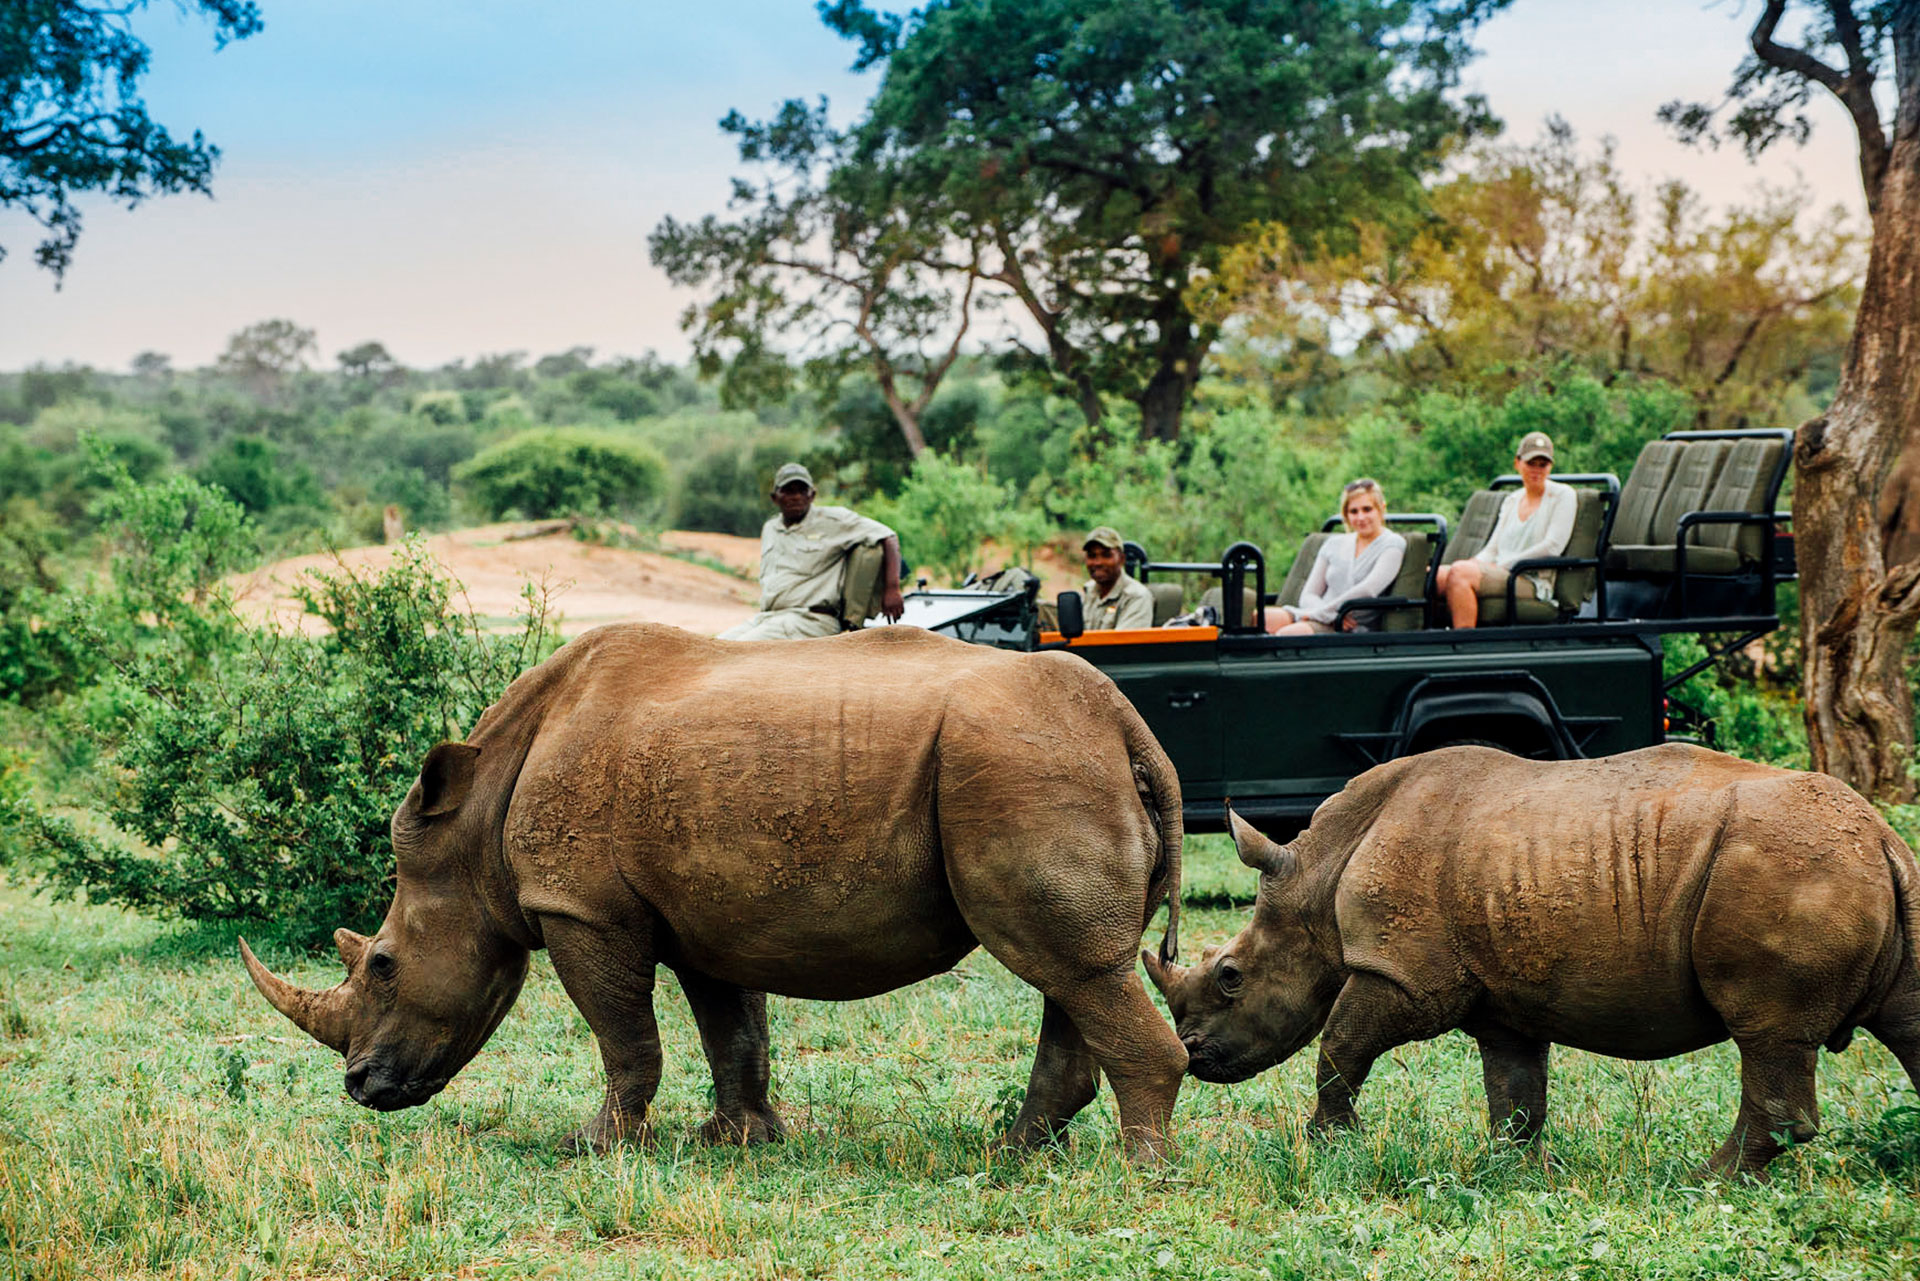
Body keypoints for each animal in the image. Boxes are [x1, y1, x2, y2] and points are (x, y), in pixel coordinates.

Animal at [240, 623, 1188, 1157]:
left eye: (385, 965)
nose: (361, 1087)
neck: (472, 832)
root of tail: (1127, 727)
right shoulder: (706, 907)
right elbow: (731, 1029)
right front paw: (738, 1140)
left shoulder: (582, 907)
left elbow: (625, 1034)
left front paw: (594, 1147)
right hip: (1046, 763)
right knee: (1076, 970)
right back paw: (1016, 1154)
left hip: (1022, 766)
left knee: (1071, 967)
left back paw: (1135, 1167)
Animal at [1143, 744, 1920, 1175]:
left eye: (1230, 976)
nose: (1193, 1055)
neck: (1317, 877)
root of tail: (1884, 837)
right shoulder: (1502, 996)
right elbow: (1515, 1092)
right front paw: (1510, 1171)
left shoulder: (1407, 975)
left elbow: (1340, 1046)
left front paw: (1329, 1147)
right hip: (1848, 871)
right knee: (1904, 1022)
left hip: (1793, 870)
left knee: (1767, 1036)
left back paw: (1707, 1181)